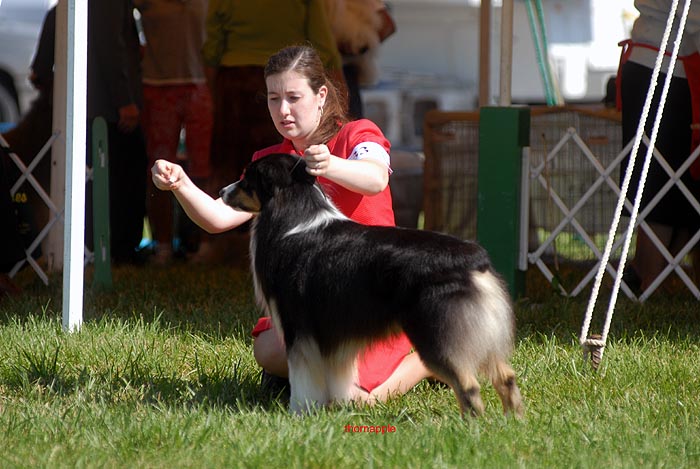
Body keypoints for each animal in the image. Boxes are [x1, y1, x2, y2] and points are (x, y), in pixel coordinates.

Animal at [220, 153, 523, 418]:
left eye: (247, 178)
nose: (222, 191)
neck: (292, 210)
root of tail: (475, 260)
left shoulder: (298, 328)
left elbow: (302, 378)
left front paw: (299, 413)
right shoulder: (334, 334)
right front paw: (336, 407)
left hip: (435, 331)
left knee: (468, 384)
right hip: (480, 328)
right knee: (506, 376)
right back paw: (512, 423)